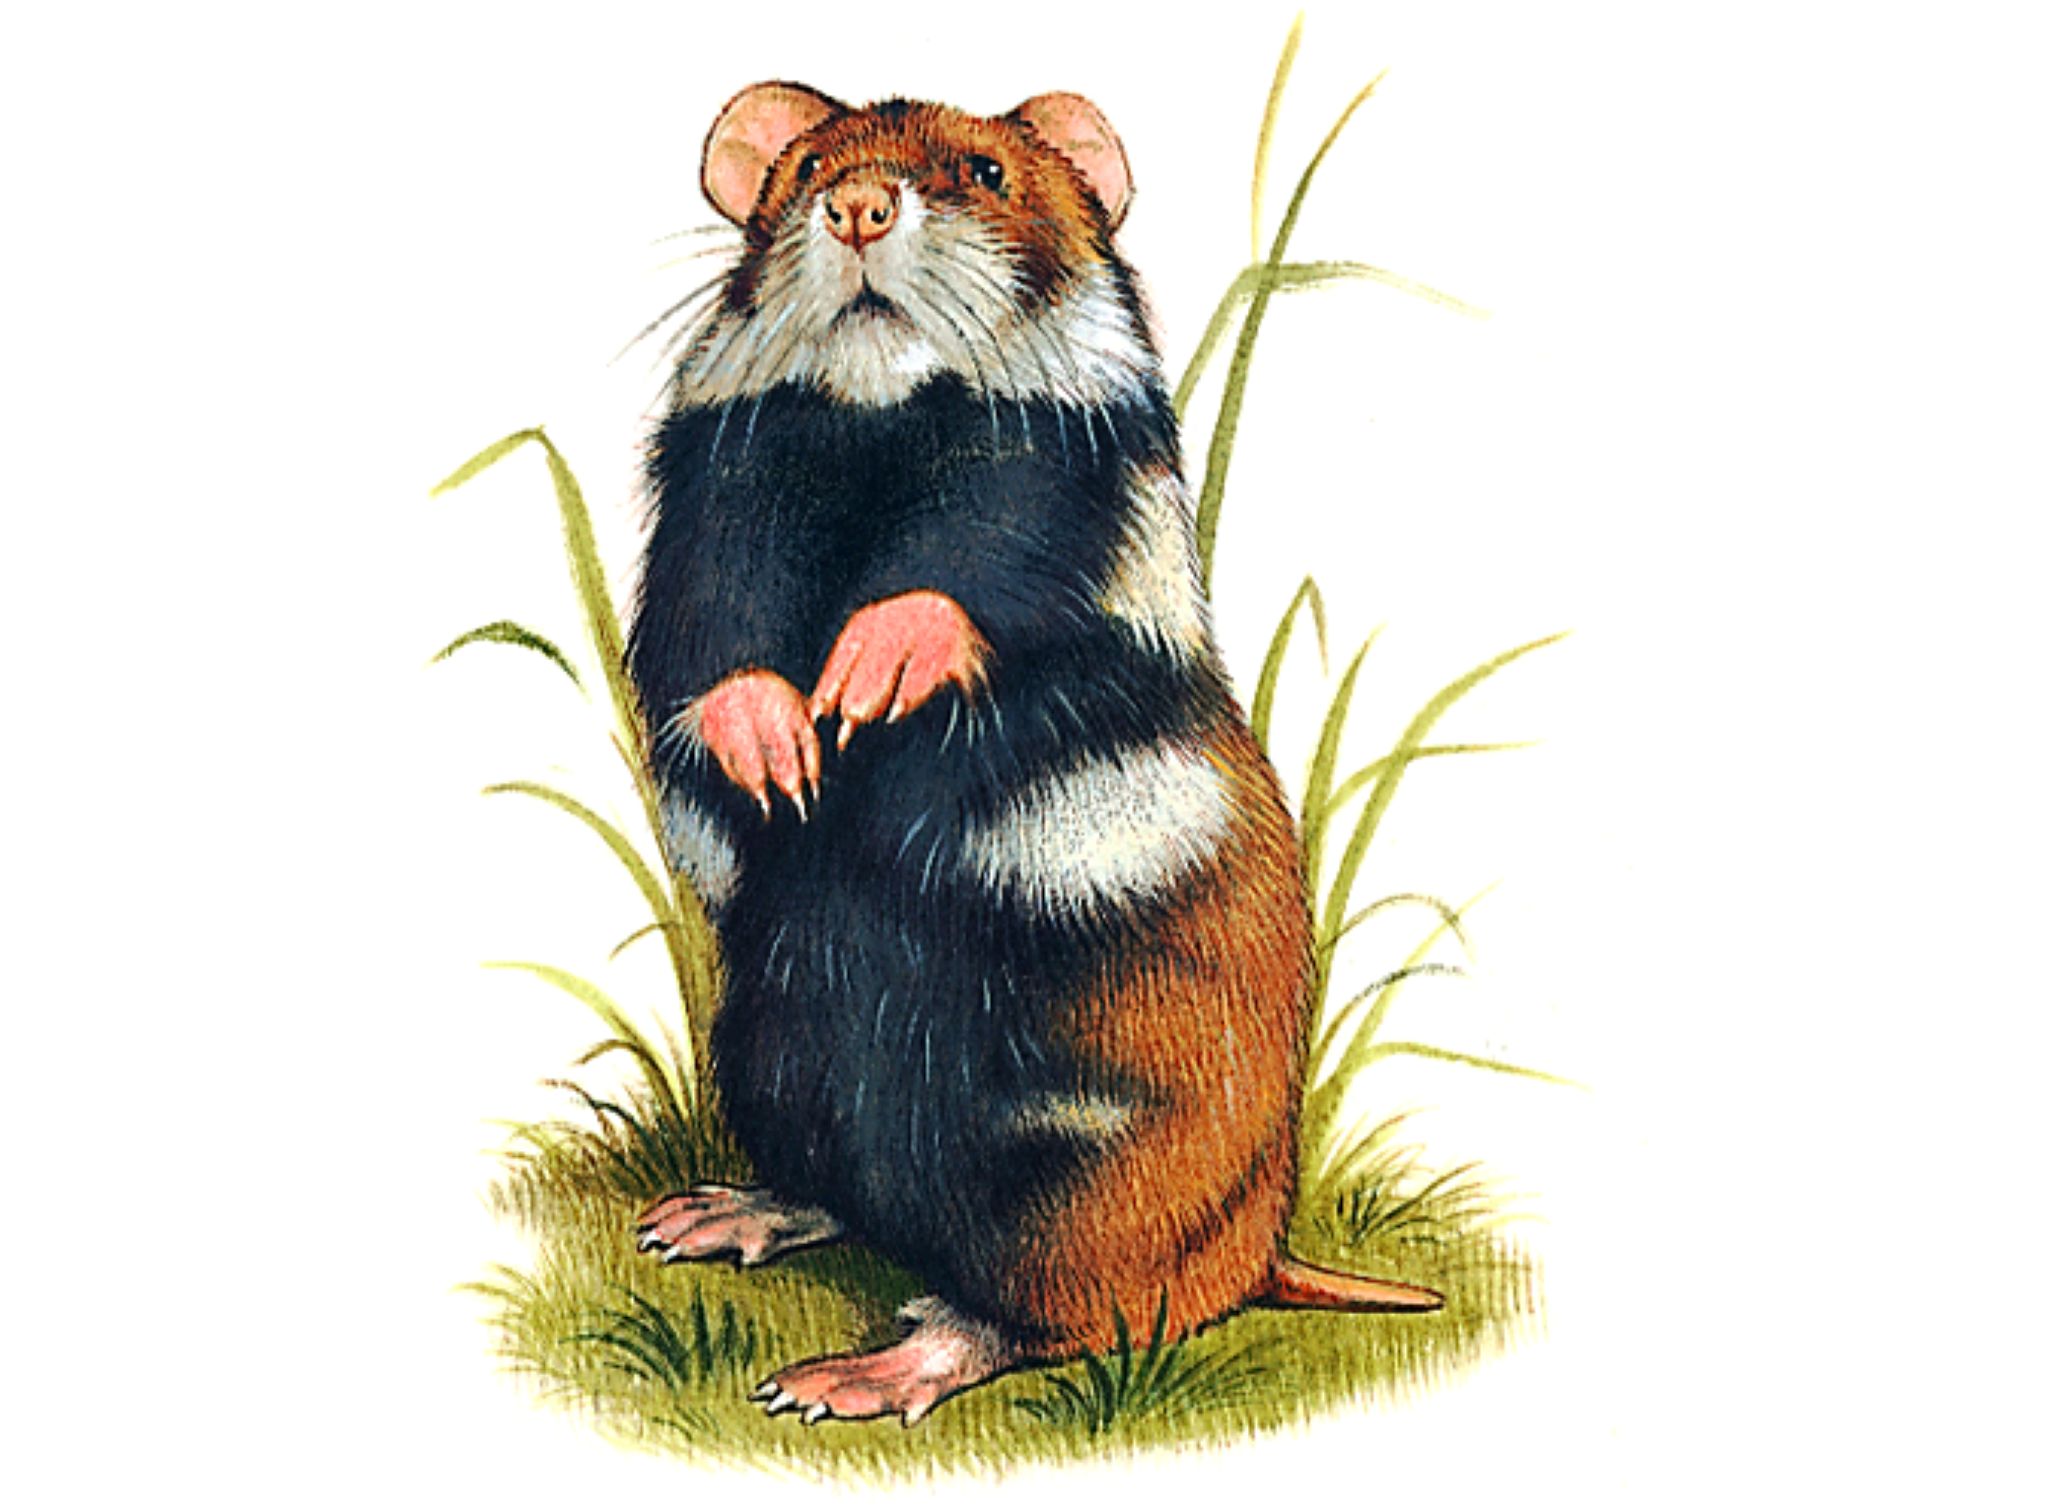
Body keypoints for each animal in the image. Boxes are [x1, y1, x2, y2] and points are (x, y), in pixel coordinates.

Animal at [627, 81, 1441, 1426]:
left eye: (983, 170)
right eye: (807, 169)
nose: (860, 208)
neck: (880, 416)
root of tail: (1257, 1247)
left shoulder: (1065, 489)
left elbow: (973, 569)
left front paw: (861, 680)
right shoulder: (715, 491)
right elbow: (713, 626)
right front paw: (785, 751)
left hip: (1069, 1166)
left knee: (1034, 1315)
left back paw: (848, 1377)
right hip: (772, 1041)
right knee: (837, 1193)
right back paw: (705, 1217)